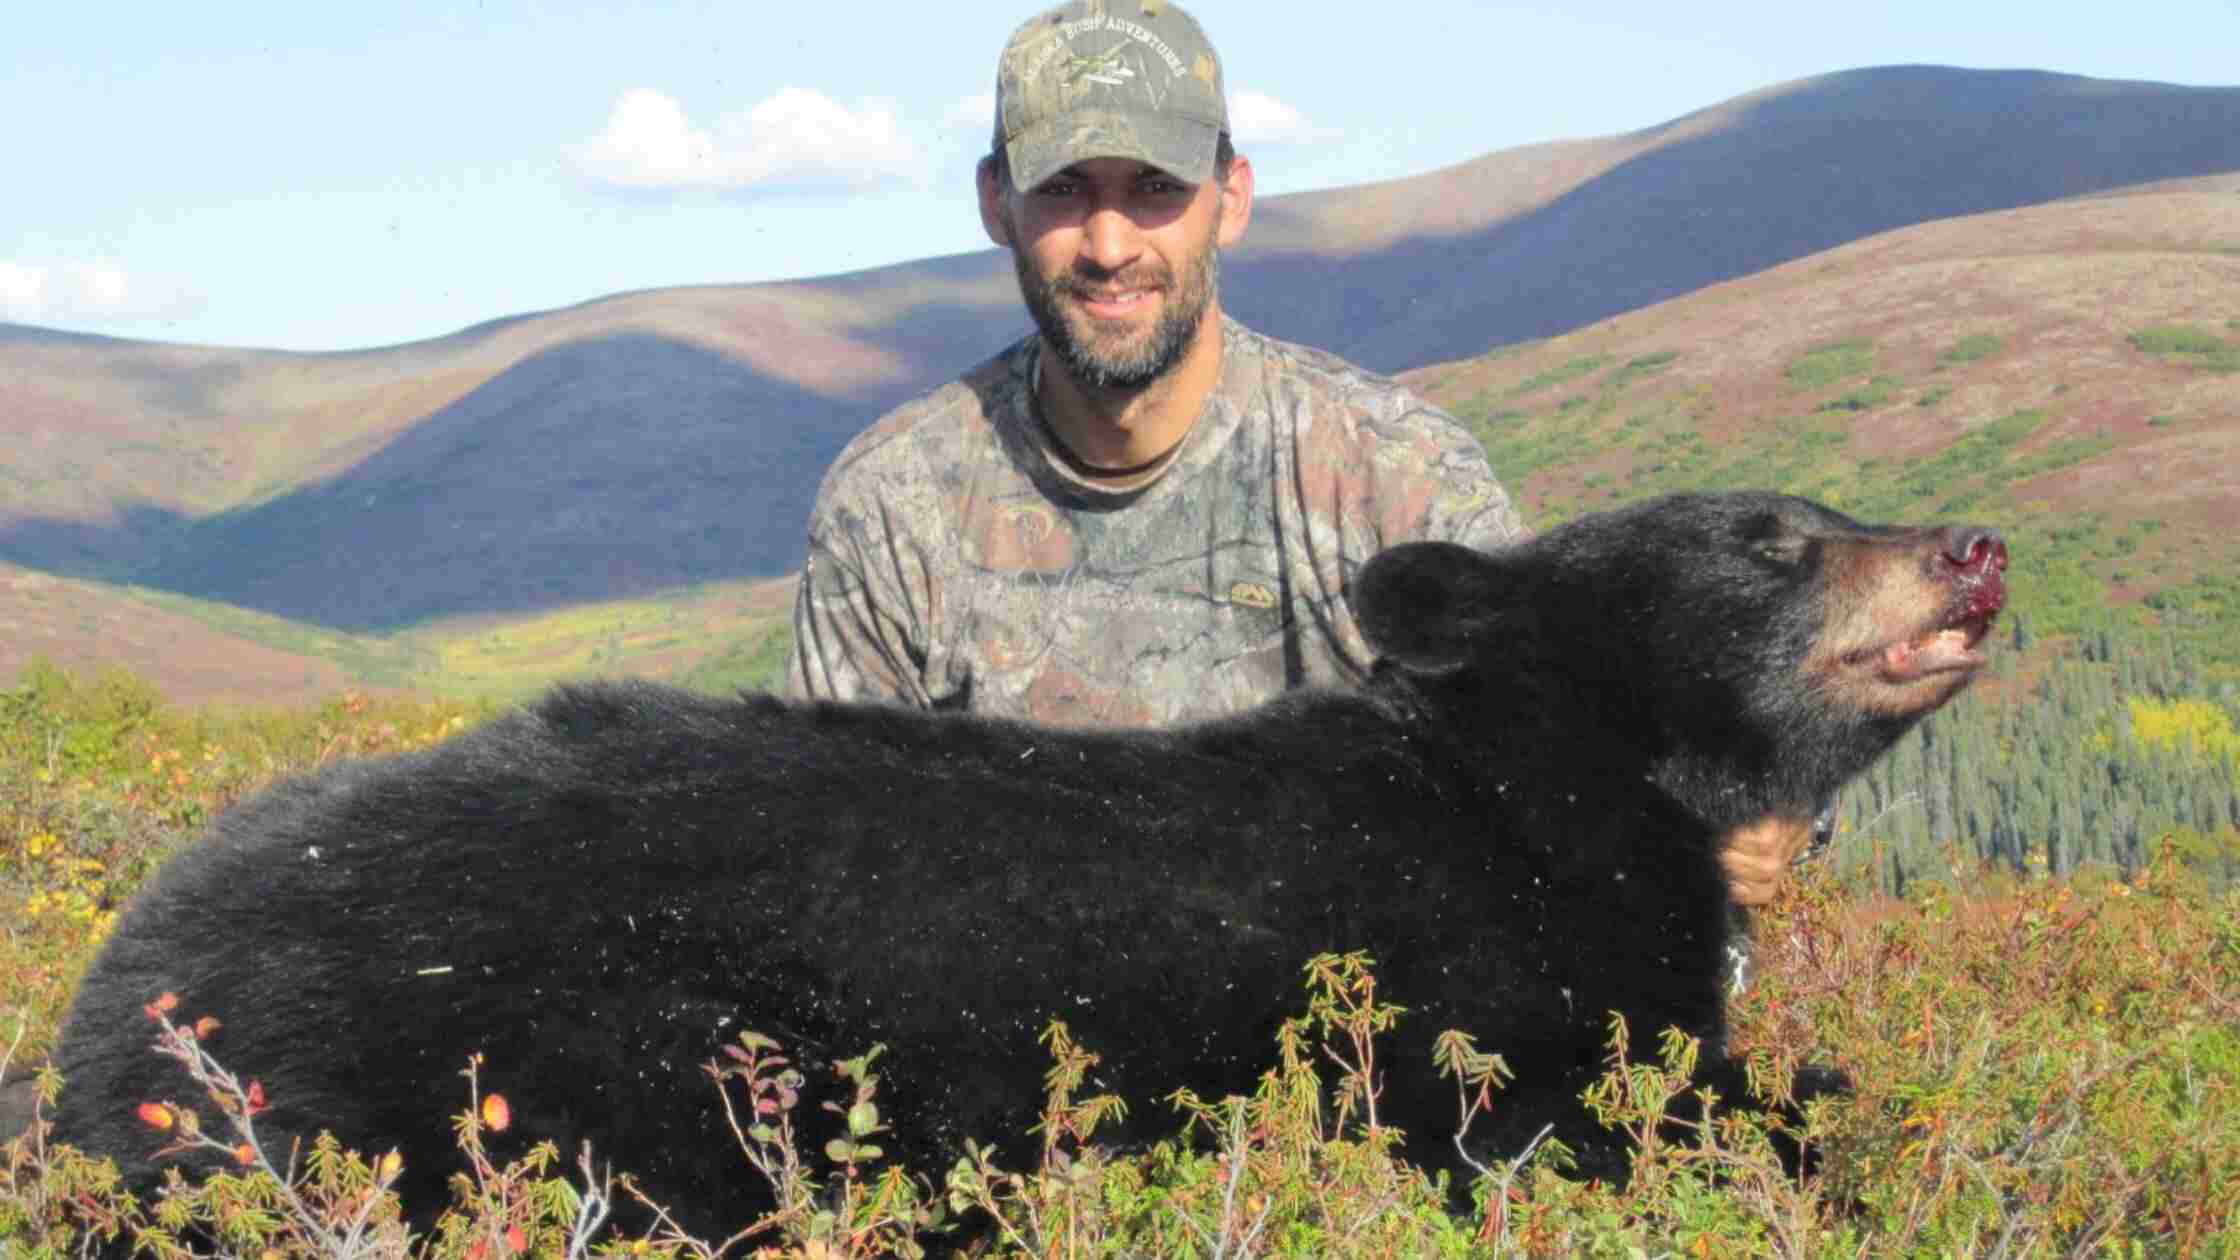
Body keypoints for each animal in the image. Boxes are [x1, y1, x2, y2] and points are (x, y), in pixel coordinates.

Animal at [47, 491, 2007, 1246]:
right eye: (1766, 541)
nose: (1973, 550)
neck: (1559, 794)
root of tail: (87, 1034)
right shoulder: (1461, 1002)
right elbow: (1580, 1111)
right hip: (570, 1052)